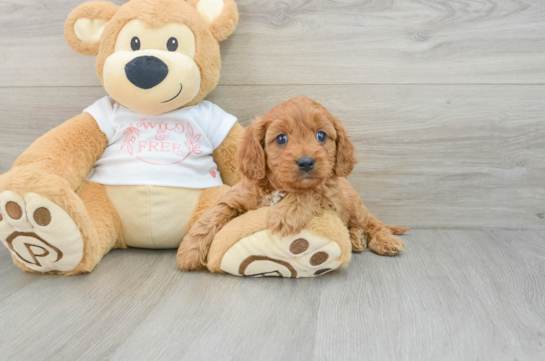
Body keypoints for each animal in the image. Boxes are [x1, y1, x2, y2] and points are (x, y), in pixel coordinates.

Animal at [178, 95, 408, 270]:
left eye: (321, 135)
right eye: (281, 138)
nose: (306, 162)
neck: (280, 188)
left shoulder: (330, 197)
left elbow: (311, 192)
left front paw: (285, 214)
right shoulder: (237, 196)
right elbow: (212, 216)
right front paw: (190, 250)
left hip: (355, 206)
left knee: (372, 223)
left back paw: (384, 240)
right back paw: (356, 239)